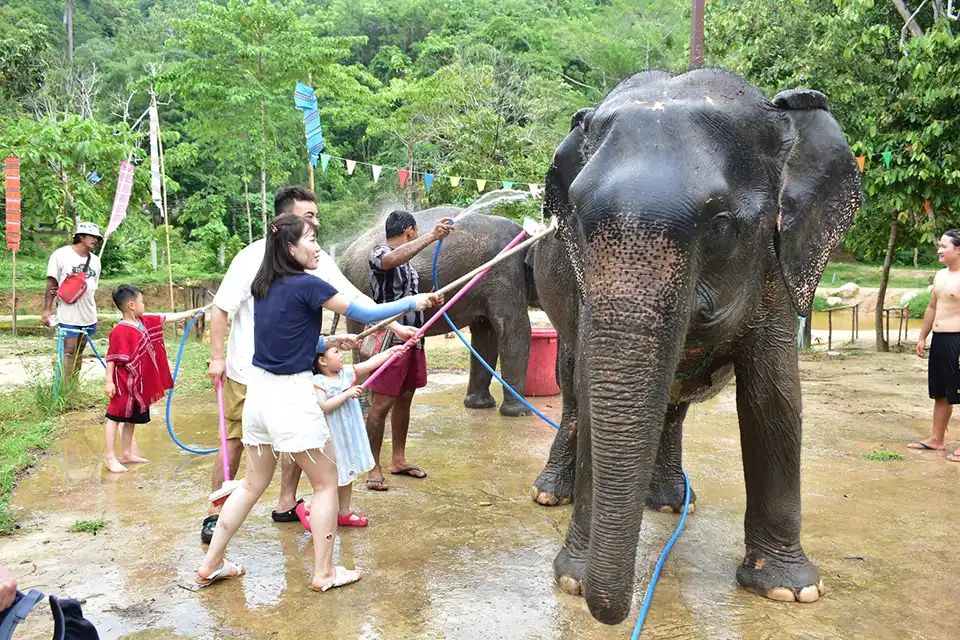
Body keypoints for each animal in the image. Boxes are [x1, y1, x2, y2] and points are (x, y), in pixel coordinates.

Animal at [338, 192, 540, 417]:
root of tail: (343, 260)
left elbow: (486, 335)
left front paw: (479, 405)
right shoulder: (506, 273)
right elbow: (515, 329)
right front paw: (519, 413)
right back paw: (368, 407)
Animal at [528, 68, 861, 625]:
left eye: (721, 225)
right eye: (575, 218)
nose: (608, 611)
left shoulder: (775, 272)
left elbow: (773, 399)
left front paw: (790, 592)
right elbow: (594, 393)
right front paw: (572, 579)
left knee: (673, 402)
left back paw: (667, 501)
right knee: (573, 394)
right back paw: (550, 494)